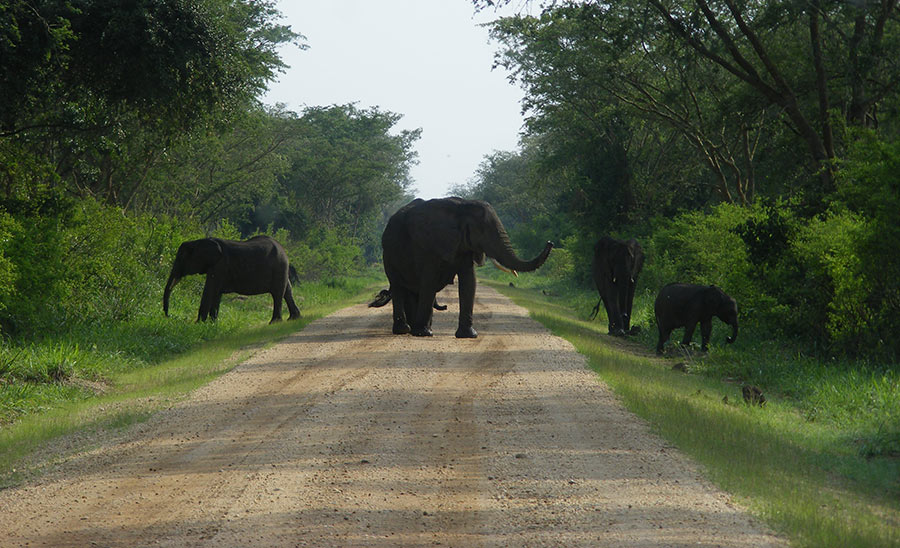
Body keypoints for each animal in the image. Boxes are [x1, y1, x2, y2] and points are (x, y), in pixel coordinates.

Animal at [163, 234, 302, 322]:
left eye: (180, 258)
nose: (168, 316)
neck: (199, 241)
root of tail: (283, 249)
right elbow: (216, 294)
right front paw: (212, 324)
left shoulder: (220, 266)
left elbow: (209, 291)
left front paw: (199, 324)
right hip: (281, 269)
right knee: (287, 291)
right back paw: (294, 318)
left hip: (279, 267)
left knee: (277, 294)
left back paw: (274, 322)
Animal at [370, 195, 552, 336]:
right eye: (482, 230)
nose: (550, 242)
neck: (462, 207)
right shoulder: (428, 244)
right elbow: (429, 281)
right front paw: (423, 333)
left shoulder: (464, 245)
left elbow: (469, 281)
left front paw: (468, 335)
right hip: (388, 256)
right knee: (398, 286)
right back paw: (405, 330)